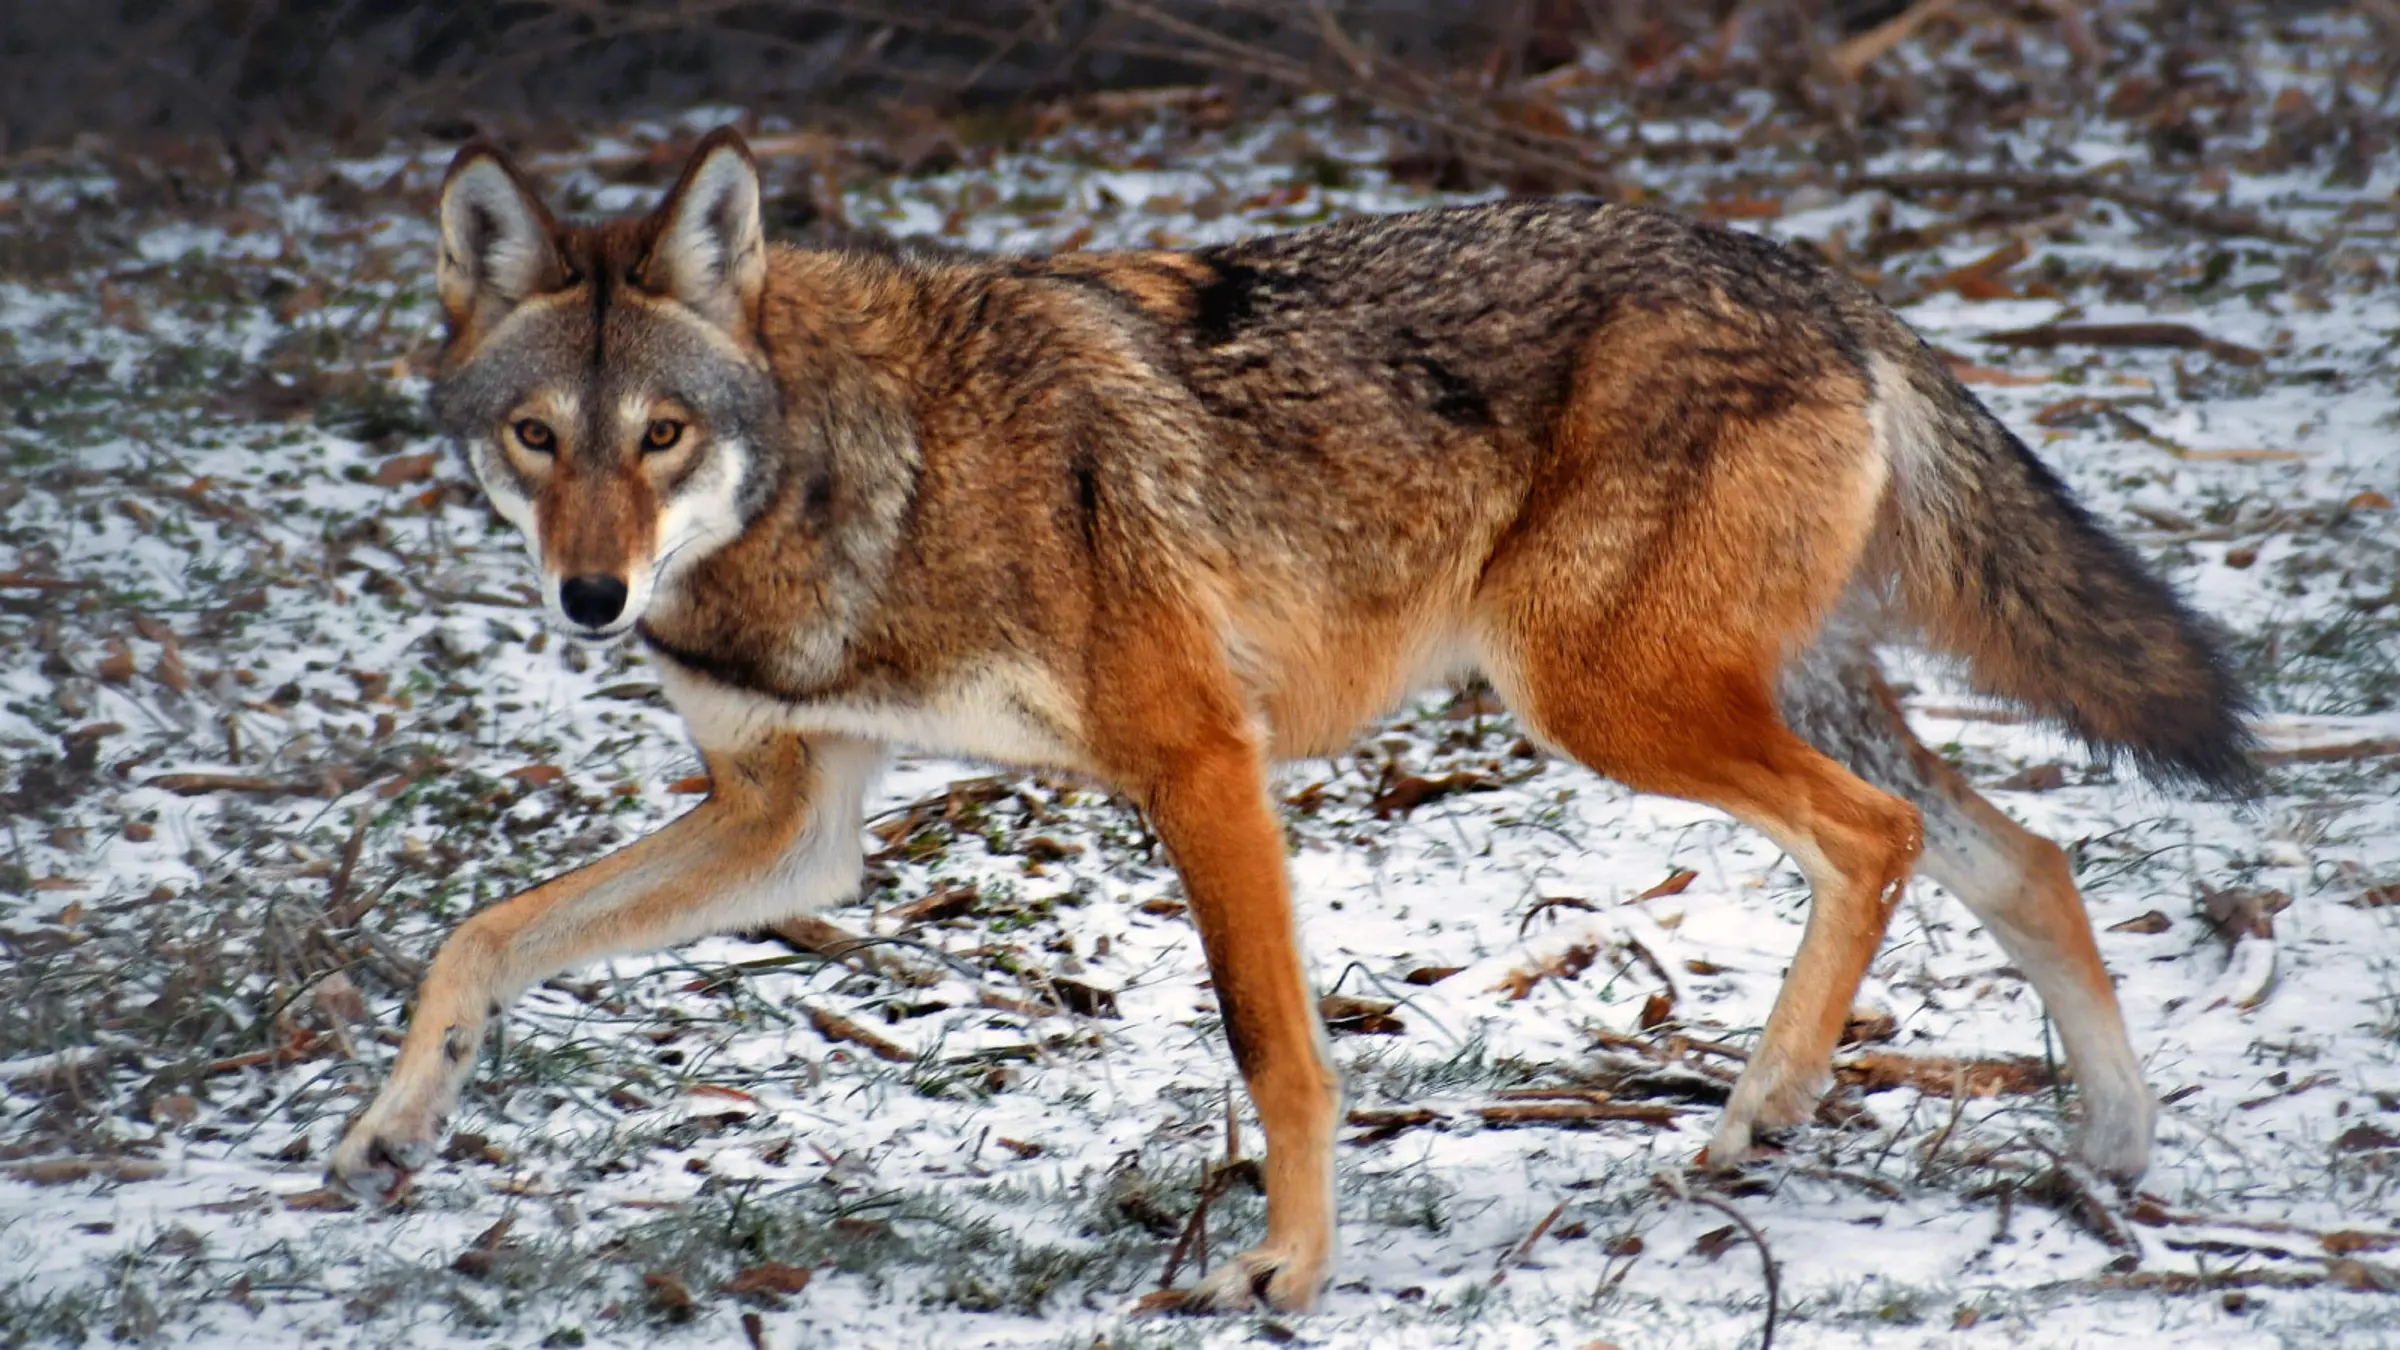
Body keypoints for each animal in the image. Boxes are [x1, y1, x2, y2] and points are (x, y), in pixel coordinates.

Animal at [327, 128, 2254, 1312]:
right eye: (538, 440)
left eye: (660, 437)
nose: (592, 597)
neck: (859, 474)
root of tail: (1824, 275)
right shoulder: (791, 825)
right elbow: (481, 934)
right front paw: (391, 1127)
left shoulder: (1198, 761)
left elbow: (1279, 1051)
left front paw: (1288, 1275)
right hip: (1754, 694)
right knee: (2026, 853)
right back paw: (2110, 1148)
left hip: (1594, 700)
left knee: (1890, 838)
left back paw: (1760, 1111)